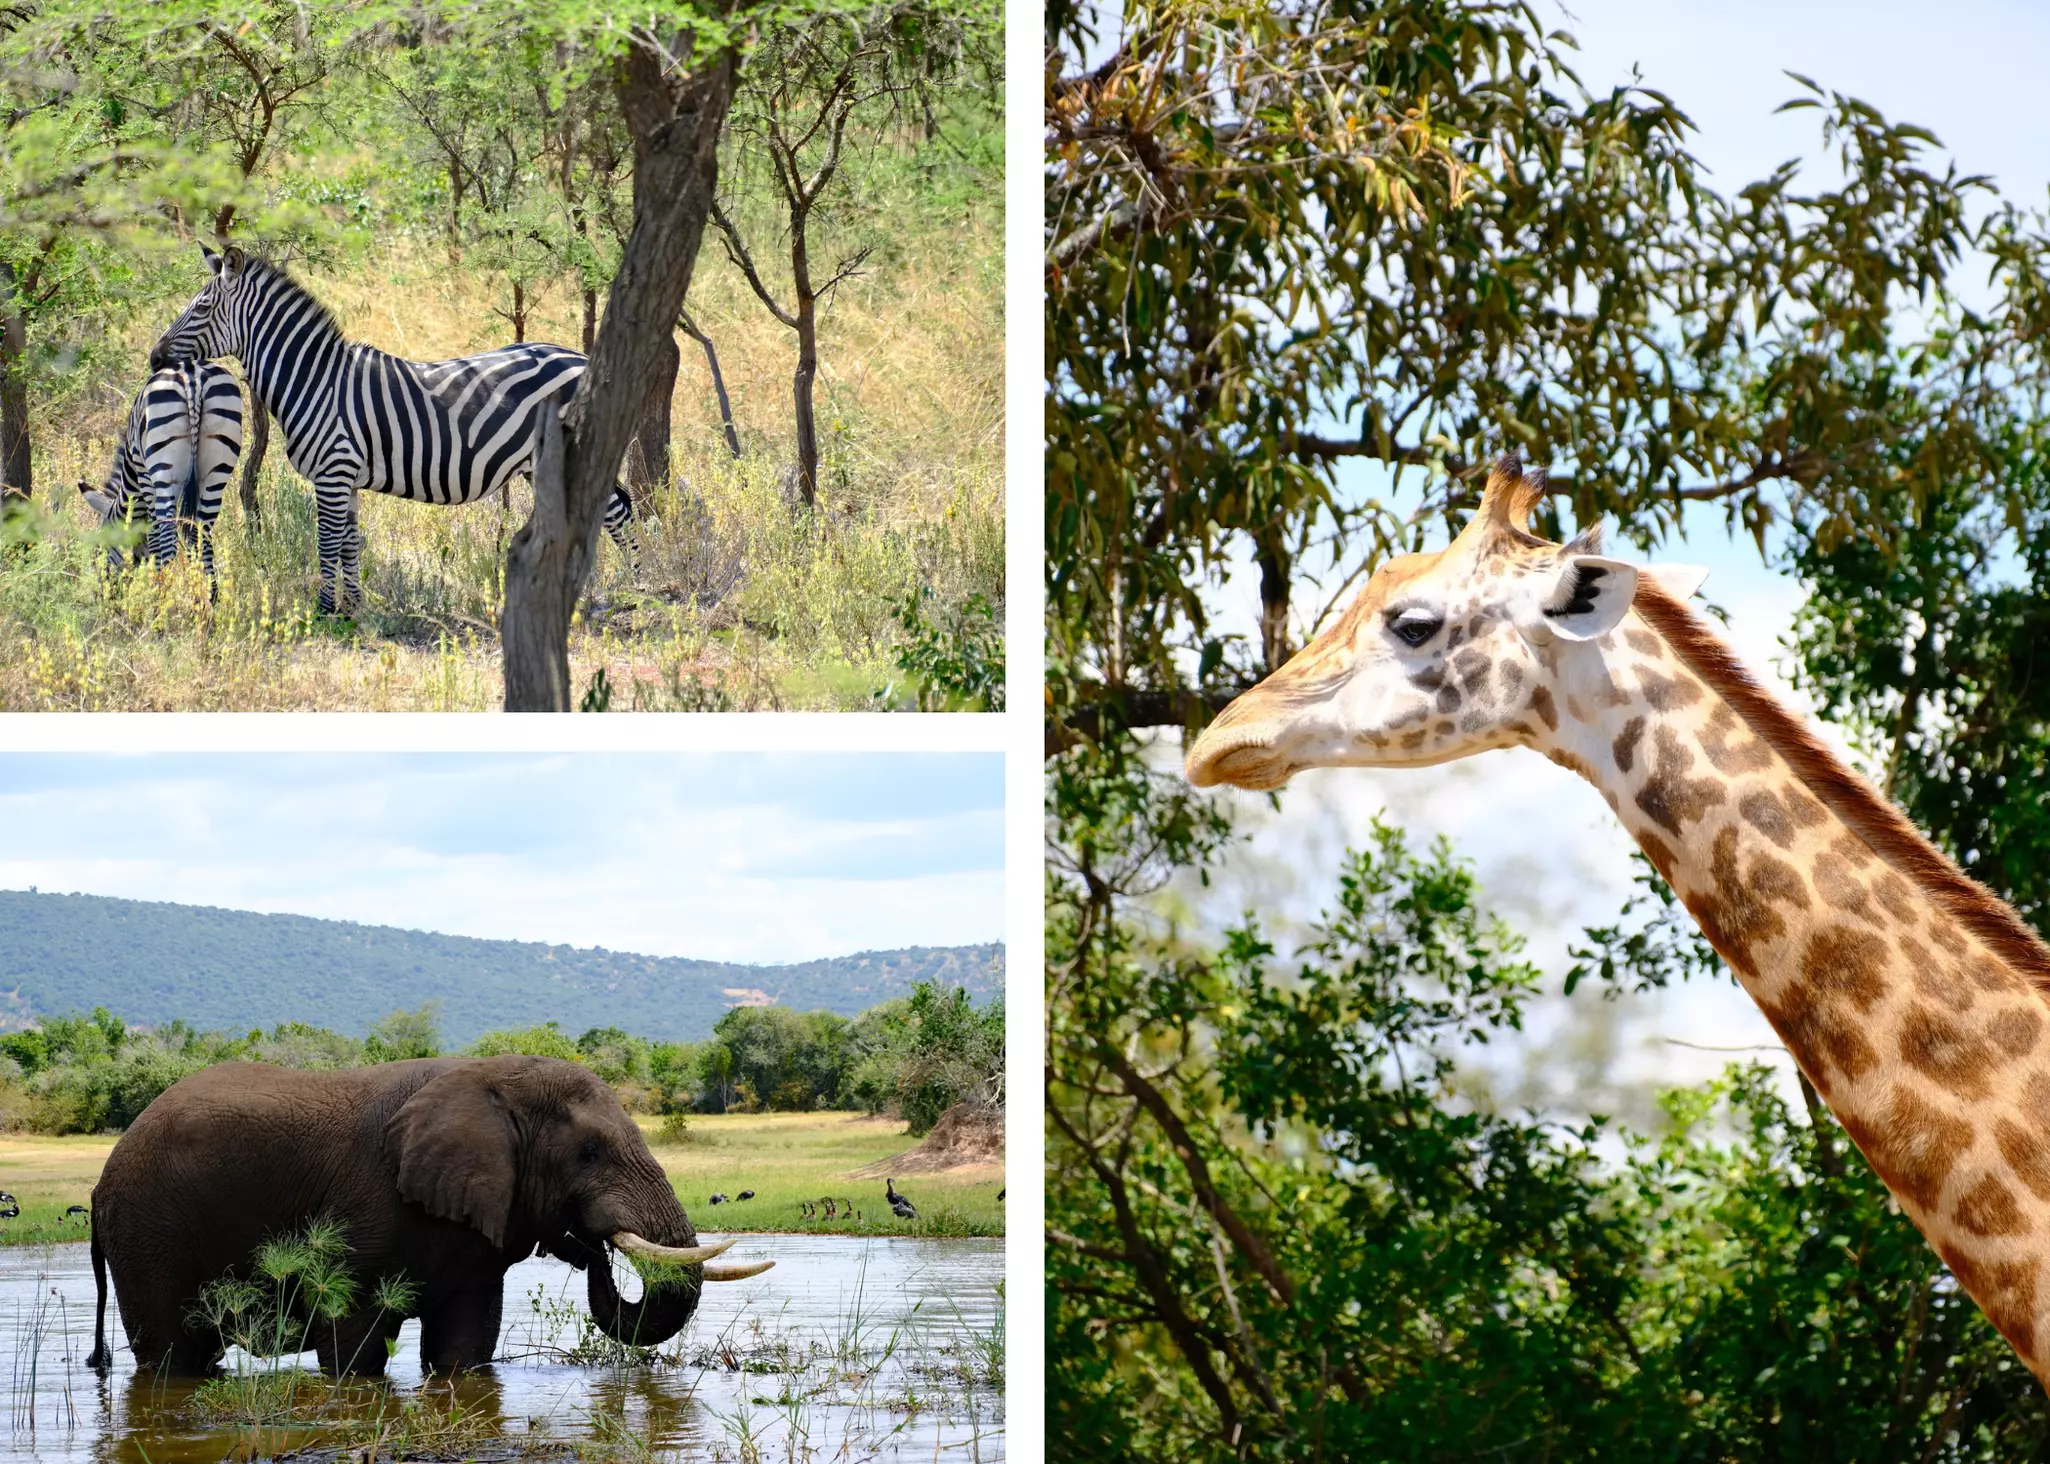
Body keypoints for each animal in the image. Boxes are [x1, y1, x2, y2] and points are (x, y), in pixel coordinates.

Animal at [77, 360, 243, 585]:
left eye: (99, 551)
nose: (104, 590)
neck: (130, 476)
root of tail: (193, 376)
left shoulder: (145, 477)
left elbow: (153, 534)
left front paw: (152, 576)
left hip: (163, 471)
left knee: (168, 537)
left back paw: (163, 587)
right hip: (217, 470)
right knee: (201, 536)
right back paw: (207, 592)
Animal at [85, 1055, 772, 1376]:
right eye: (589, 1153)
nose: (588, 1244)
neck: (494, 1079)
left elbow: (463, 1348)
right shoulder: (362, 1208)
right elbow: (353, 1346)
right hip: (148, 1233)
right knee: (173, 1356)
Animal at [148, 244, 637, 615]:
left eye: (202, 308)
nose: (154, 357)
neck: (315, 379)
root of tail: (581, 357)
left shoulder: (333, 470)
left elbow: (327, 543)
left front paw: (323, 612)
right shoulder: (346, 477)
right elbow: (349, 544)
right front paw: (352, 610)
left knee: (617, 512)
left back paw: (633, 589)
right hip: (542, 462)